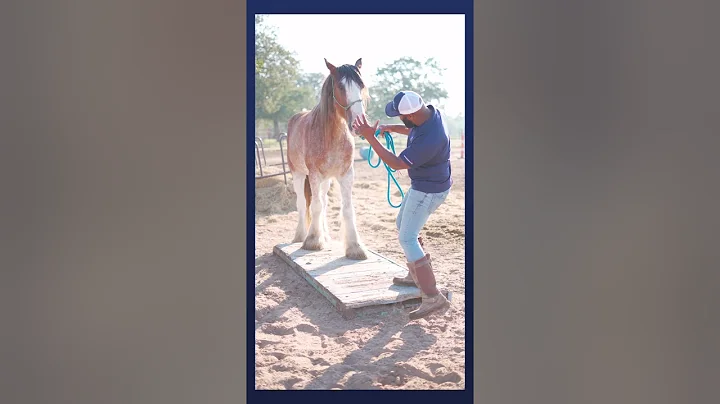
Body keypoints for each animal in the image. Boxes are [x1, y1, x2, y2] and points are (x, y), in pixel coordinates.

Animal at [286, 58, 369, 260]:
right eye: (340, 86)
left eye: (361, 85)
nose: (359, 123)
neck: (331, 136)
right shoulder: (314, 175)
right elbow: (314, 206)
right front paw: (313, 241)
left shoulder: (346, 175)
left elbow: (346, 209)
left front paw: (355, 247)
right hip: (298, 174)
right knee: (303, 203)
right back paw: (300, 235)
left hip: (326, 180)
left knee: (323, 202)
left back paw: (325, 235)